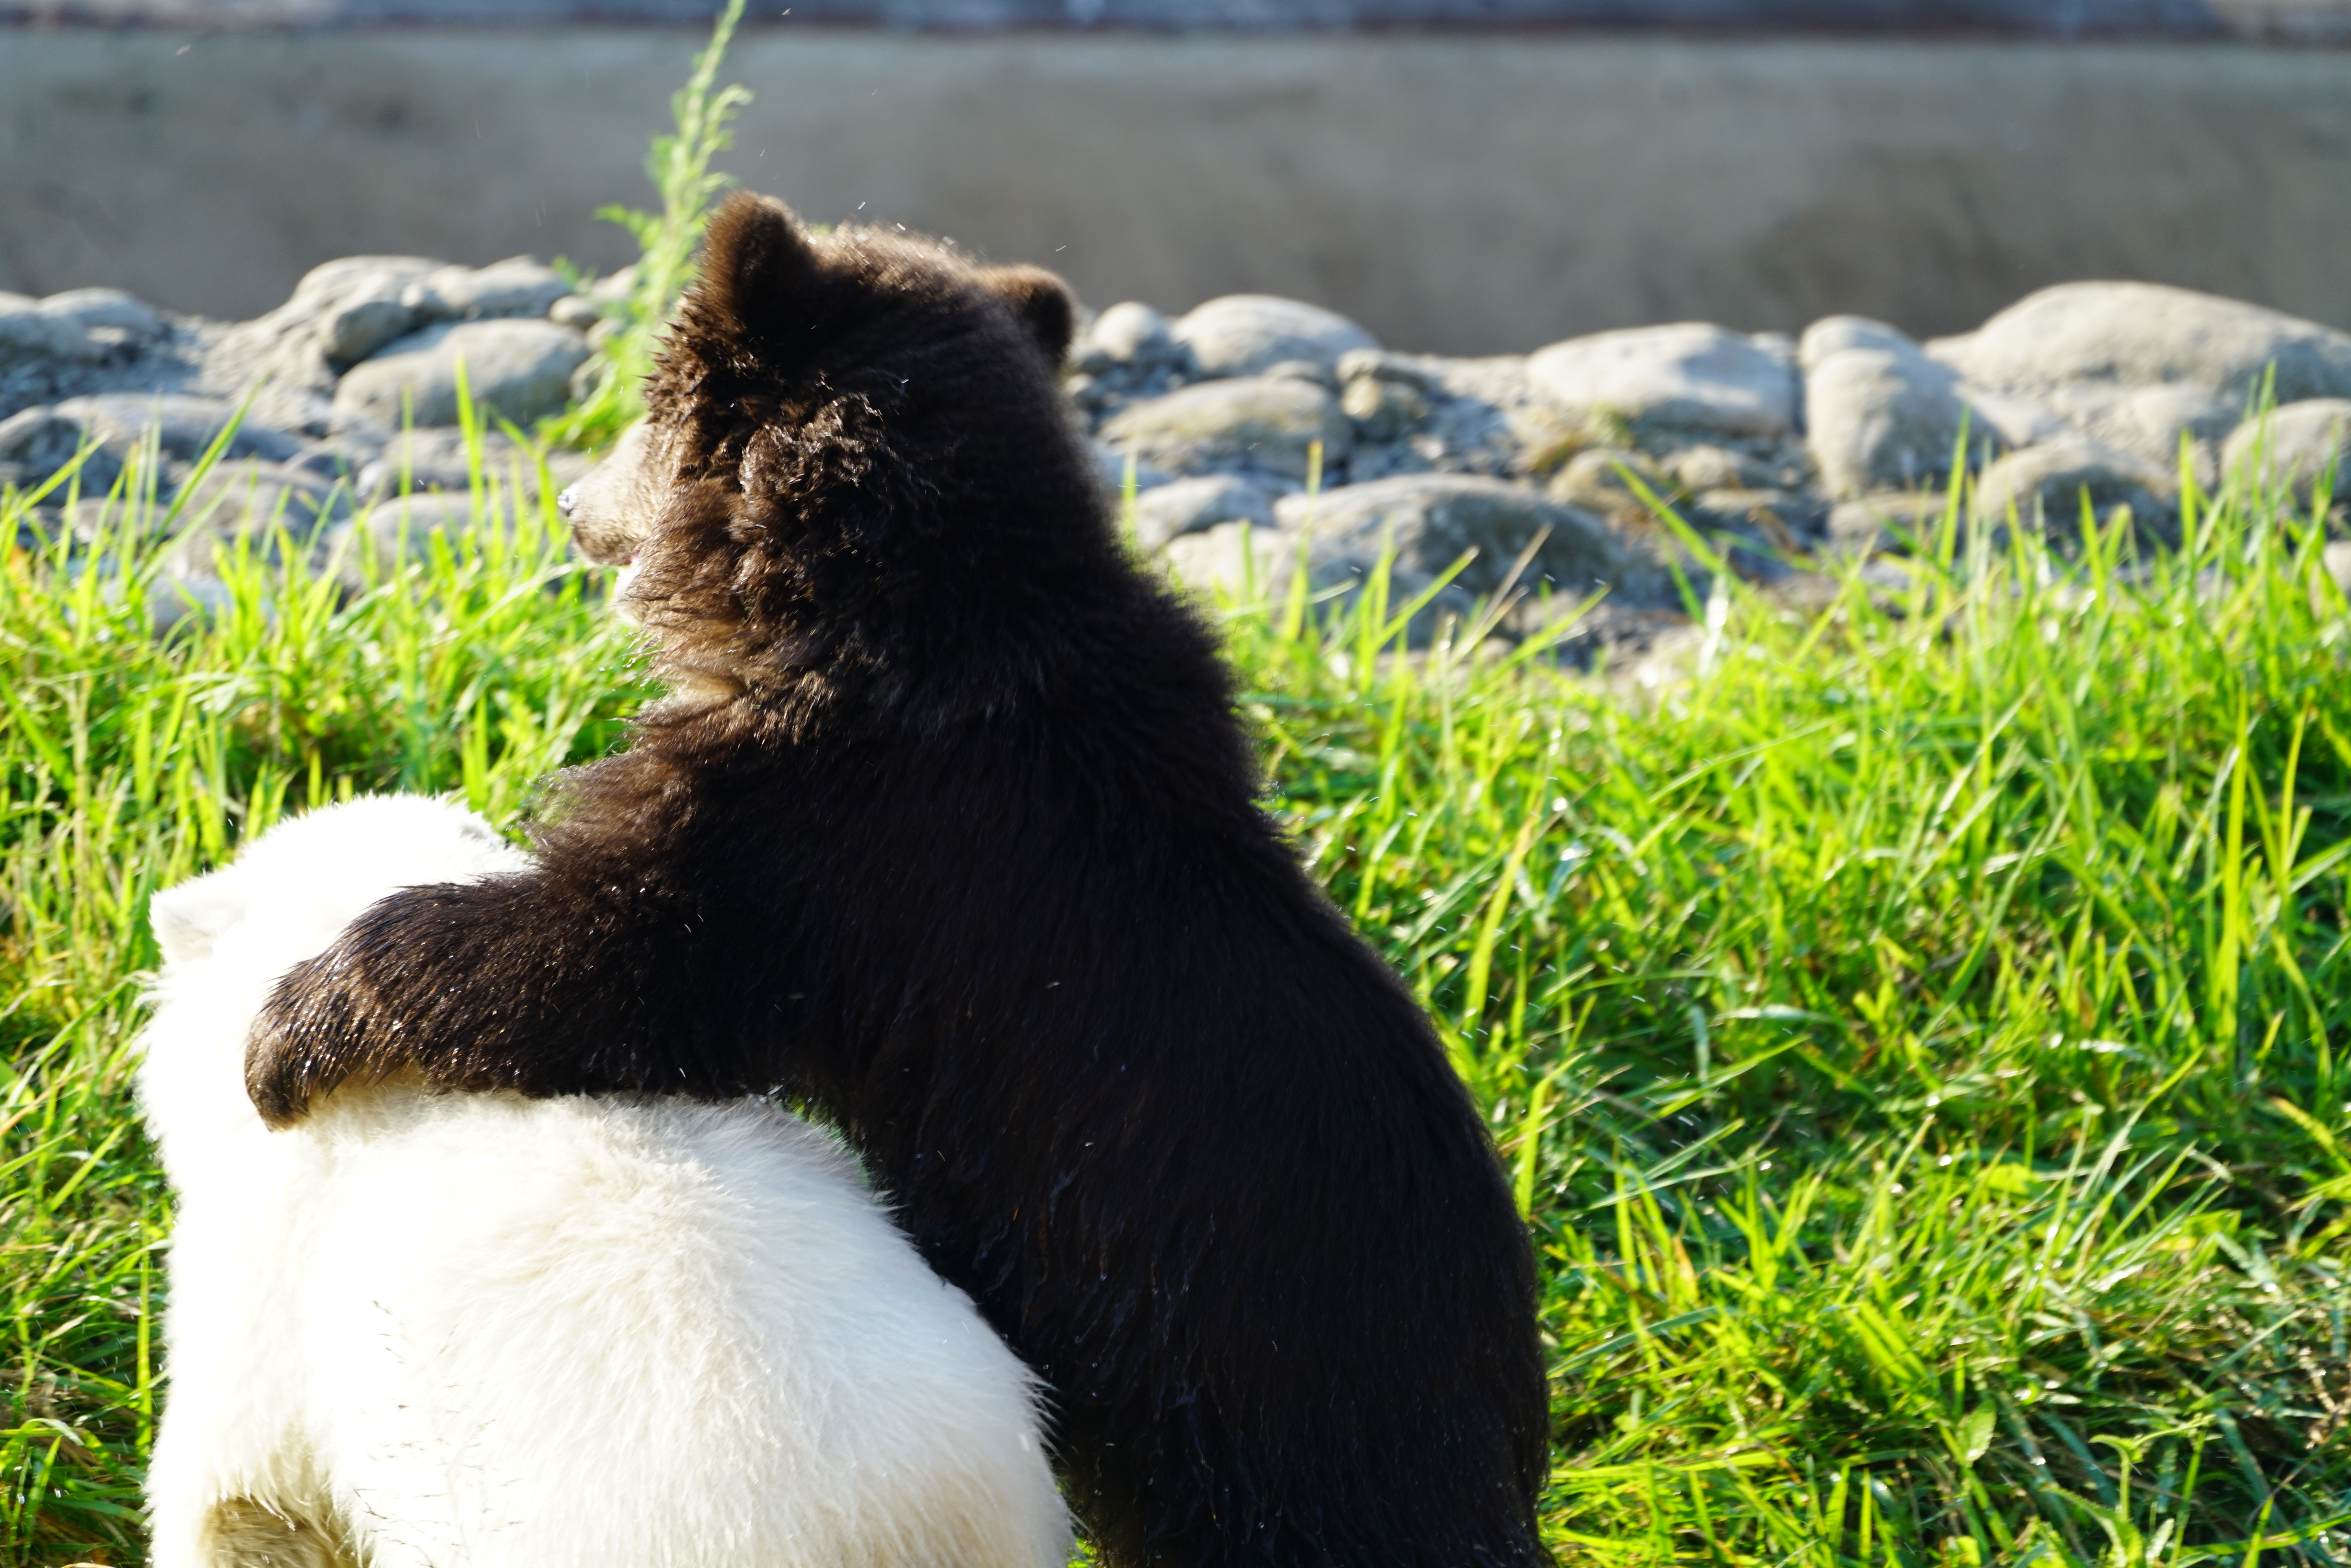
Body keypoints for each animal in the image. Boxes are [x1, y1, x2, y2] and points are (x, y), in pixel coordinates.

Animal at [244, 192, 1552, 1568]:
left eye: (647, 409)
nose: (566, 502)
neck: (874, 607)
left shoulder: (815, 841)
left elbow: (608, 961)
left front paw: (293, 1029)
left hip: (1256, 1408)